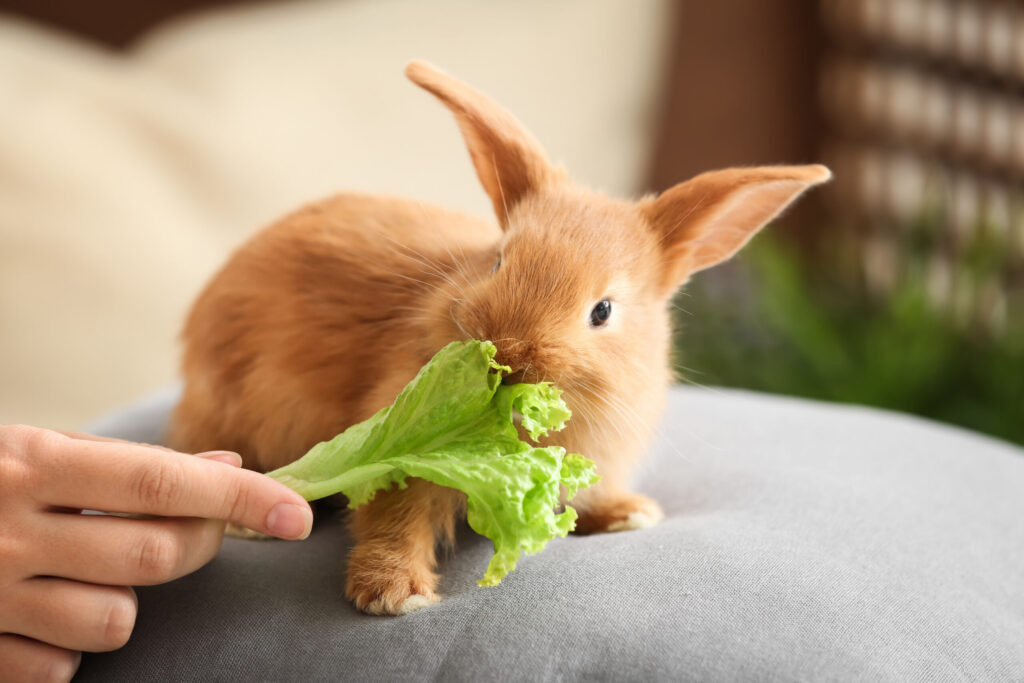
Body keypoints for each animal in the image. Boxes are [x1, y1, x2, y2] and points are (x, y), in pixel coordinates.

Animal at [168, 60, 830, 616]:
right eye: (498, 262)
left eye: (603, 311)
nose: (507, 356)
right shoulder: (397, 449)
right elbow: (394, 517)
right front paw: (395, 594)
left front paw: (628, 515)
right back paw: (250, 521)